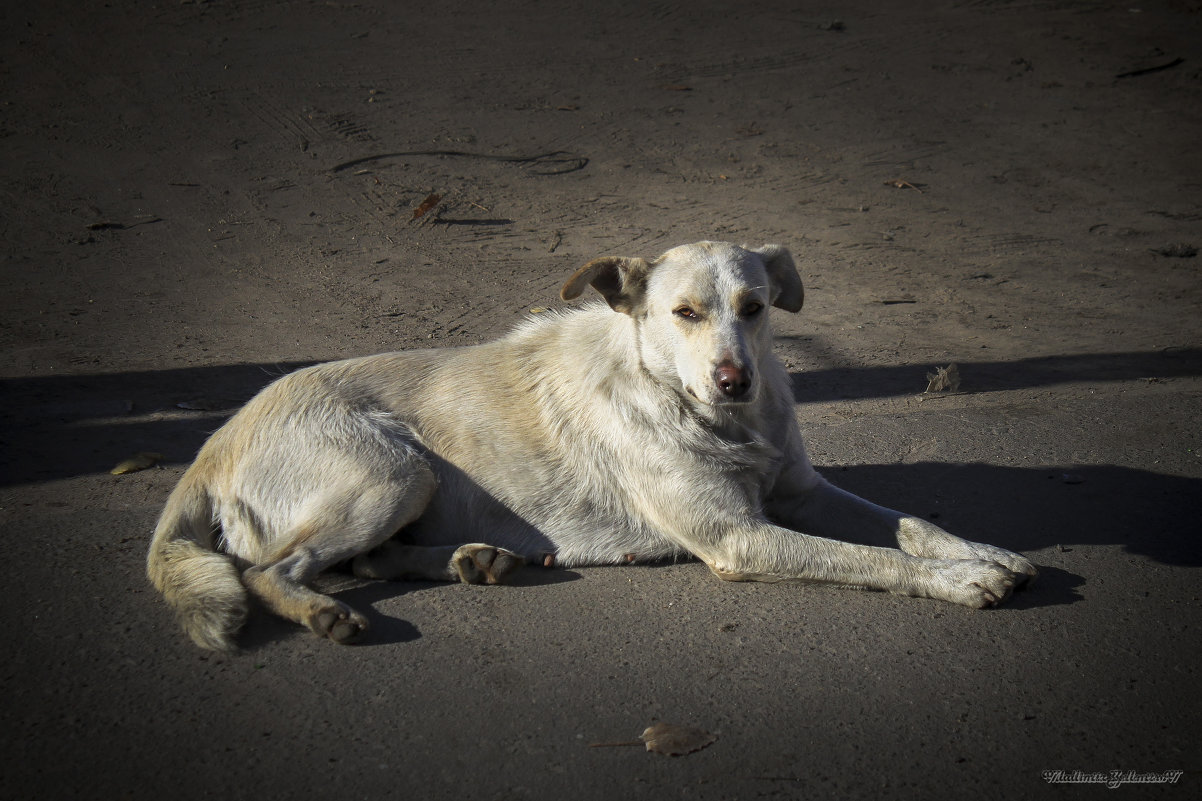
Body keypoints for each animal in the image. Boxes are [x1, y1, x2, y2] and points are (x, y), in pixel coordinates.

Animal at [147, 240, 1033, 644]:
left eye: (753, 307)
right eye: (684, 313)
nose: (735, 378)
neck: (708, 414)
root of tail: (213, 442)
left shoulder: (803, 492)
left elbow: (909, 523)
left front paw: (985, 550)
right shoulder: (740, 537)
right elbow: (874, 558)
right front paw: (961, 581)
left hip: (403, 488)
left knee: (364, 559)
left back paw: (471, 559)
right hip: (390, 471)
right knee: (268, 569)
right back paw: (323, 611)